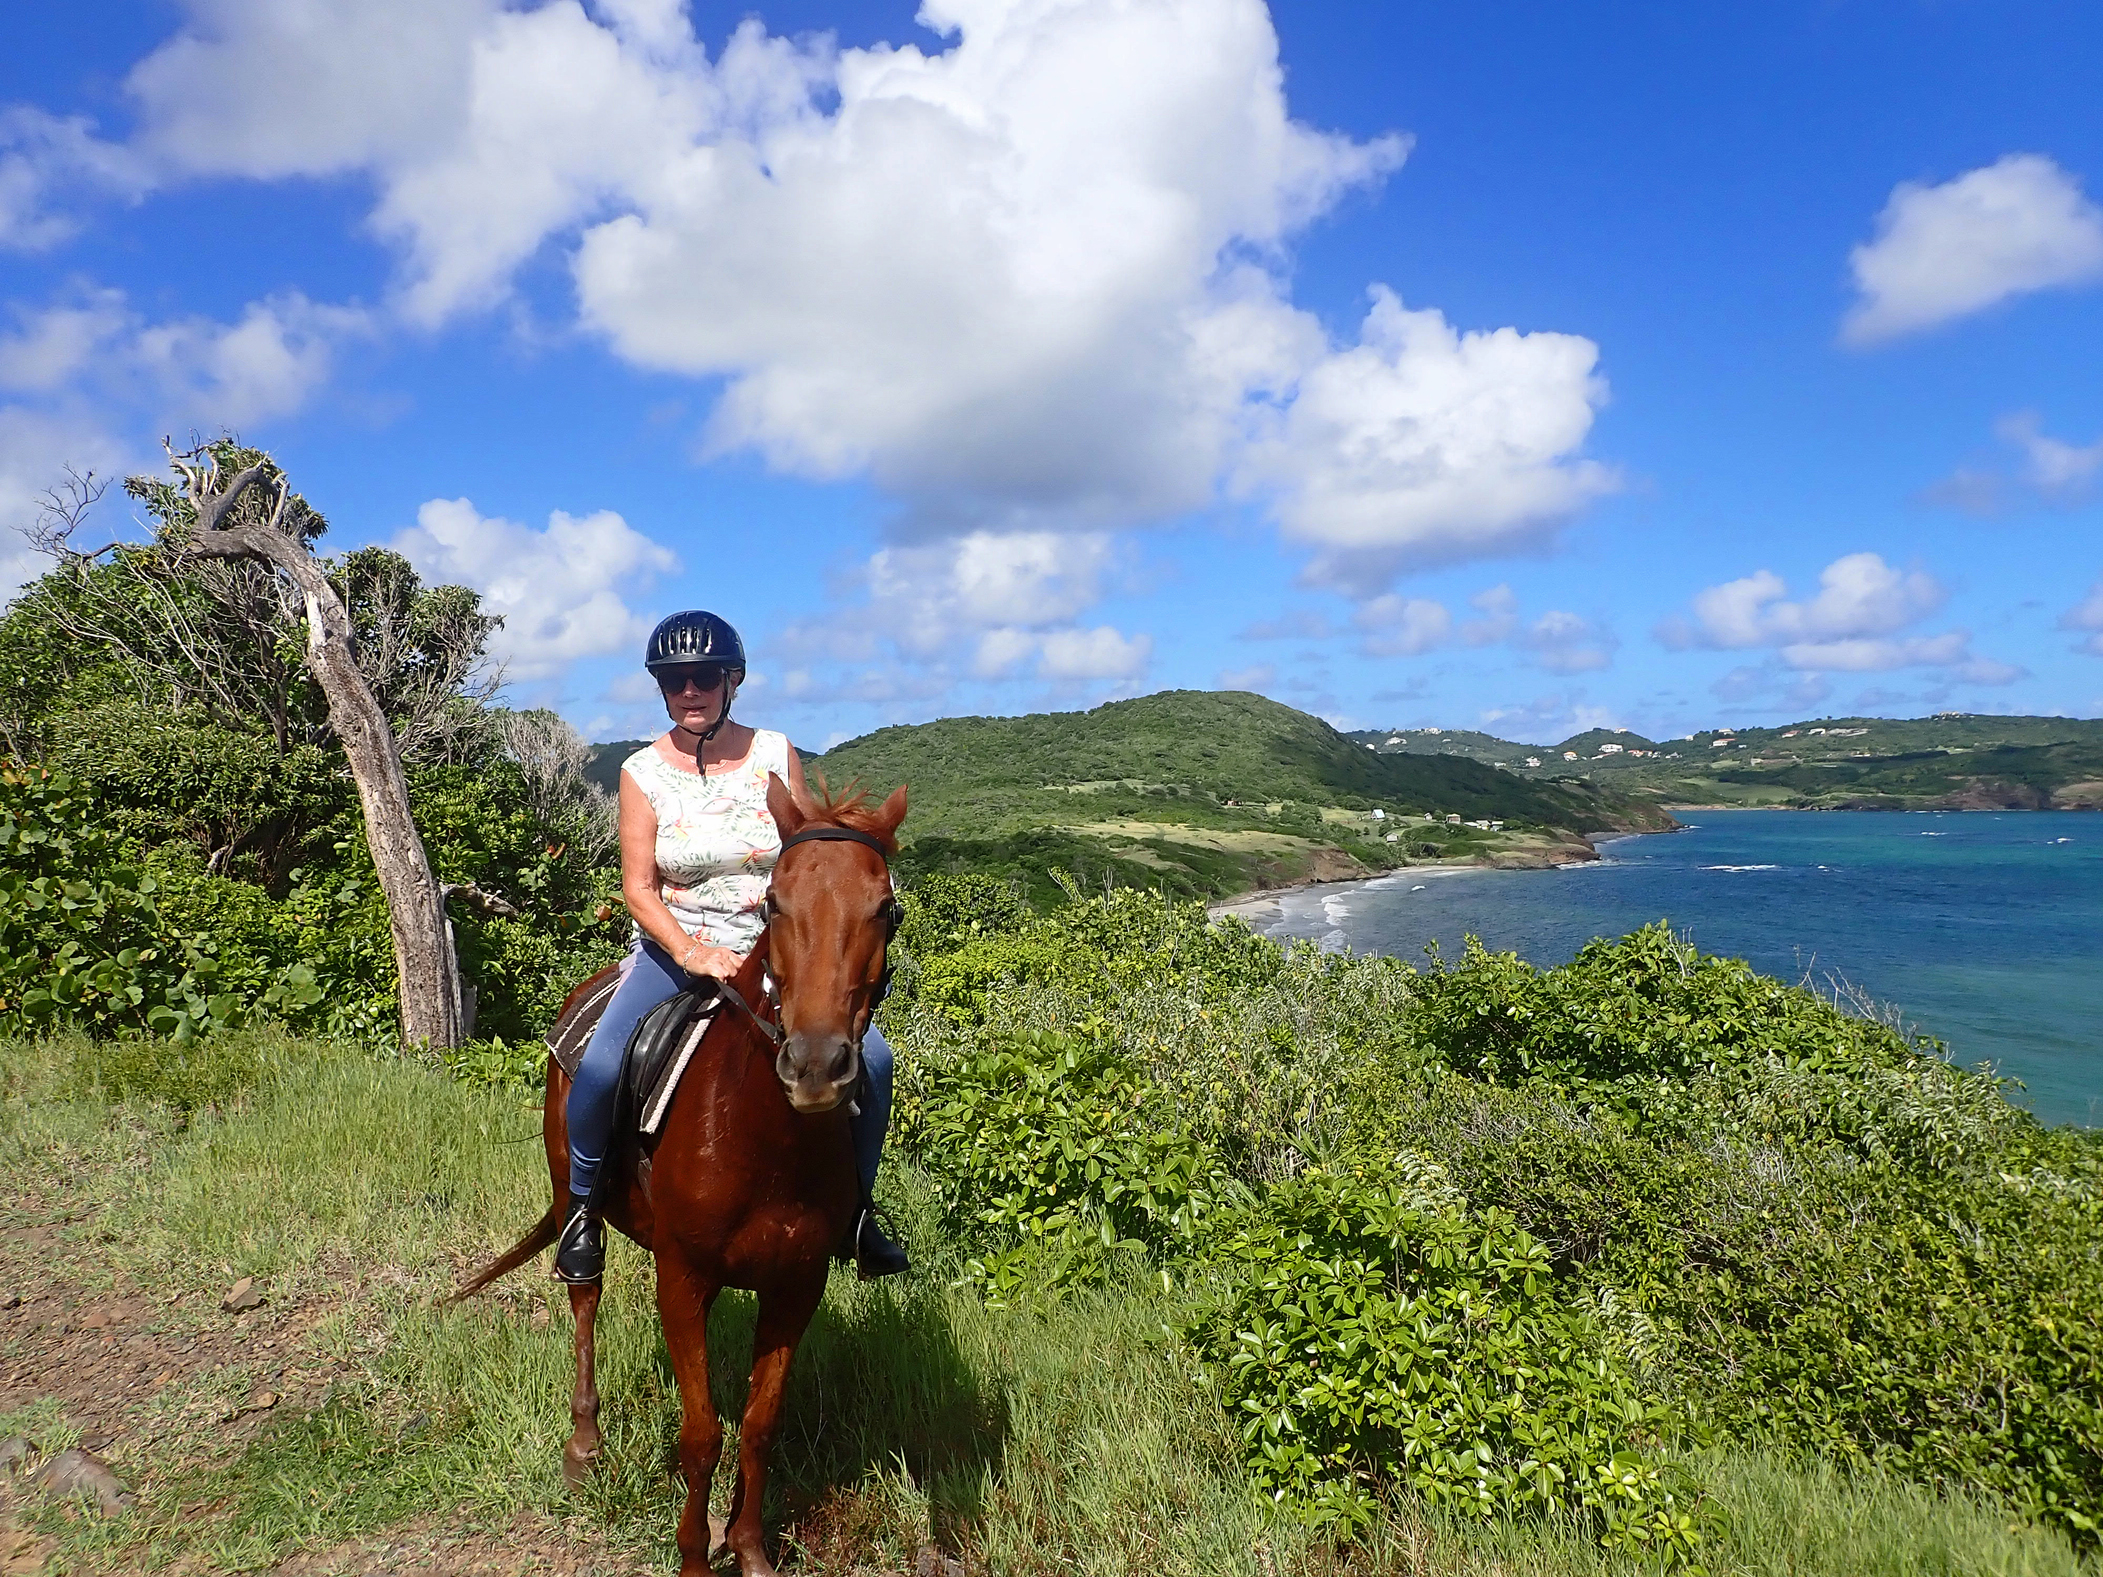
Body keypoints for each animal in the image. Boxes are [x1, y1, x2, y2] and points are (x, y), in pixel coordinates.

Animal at [452, 777, 912, 1577]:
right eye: (773, 902)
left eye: (884, 908)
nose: (815, 1065)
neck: (767, 1138)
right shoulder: (682, 1278)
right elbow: (702, 1434)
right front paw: (696, 1554)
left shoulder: (797, 1285)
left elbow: (758, 1425)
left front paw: (750, 1547)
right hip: (574, 1196)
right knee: (584, 1295)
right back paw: (583, 1443)